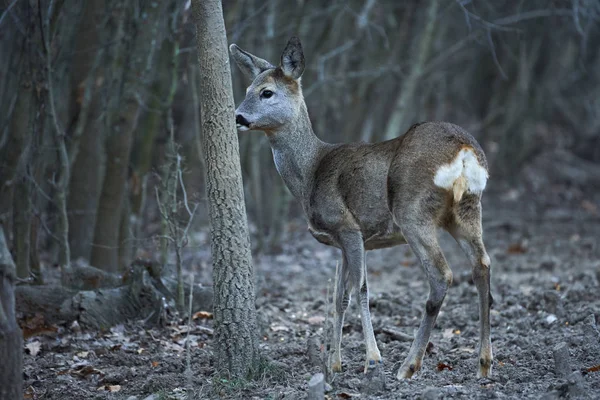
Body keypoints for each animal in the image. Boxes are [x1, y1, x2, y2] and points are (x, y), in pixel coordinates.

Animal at [229, 36, 492, 380]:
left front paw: (372, 359)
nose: (238, 117)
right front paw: (335, 363)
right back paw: (484, 362)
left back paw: (408, 365)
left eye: (266, 92)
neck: (310, 172)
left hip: (412, 210)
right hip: (467, 209)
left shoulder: (348, 226)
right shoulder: (343, 240)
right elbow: (340, 297)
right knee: (482, 265)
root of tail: (464, 151)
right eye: (248, 89)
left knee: (441, 276)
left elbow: (362, 289)